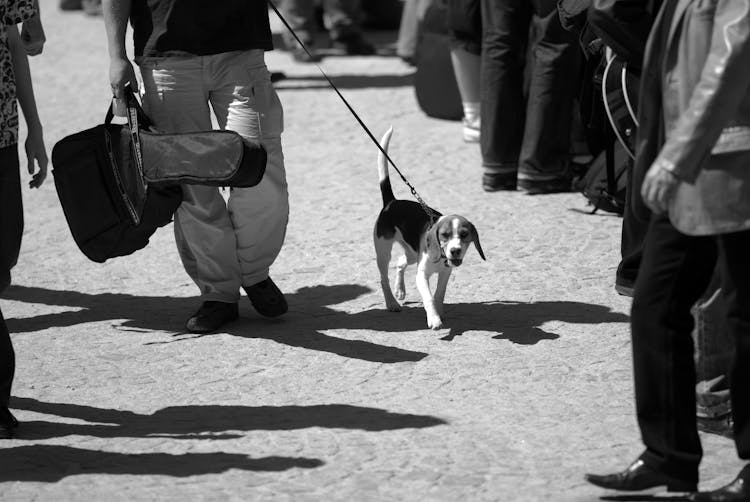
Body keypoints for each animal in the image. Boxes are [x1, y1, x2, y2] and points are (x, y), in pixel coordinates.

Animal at [374, 127, 488, 330]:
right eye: (444, 235)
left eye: (464, 235)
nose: (455, 250)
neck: (440, 255)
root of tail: (391, 202)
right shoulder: (422, 276)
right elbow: (428, 297)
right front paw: (433, 318)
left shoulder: (445, 273)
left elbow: (439, 294)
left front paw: (439, 311)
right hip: (383, 251)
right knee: (383, 277)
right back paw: (392, 302)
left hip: (412, 253)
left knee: (401, 262)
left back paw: (400, 290)